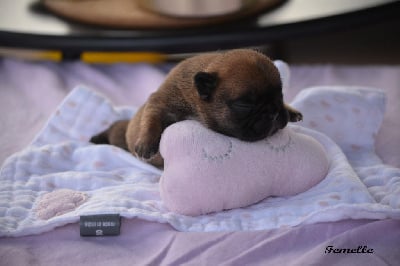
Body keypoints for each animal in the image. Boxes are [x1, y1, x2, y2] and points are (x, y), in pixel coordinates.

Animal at [91, 48, 304, 167]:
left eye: (280, 95)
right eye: (245, 104)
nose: (274, 112)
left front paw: (290, 110)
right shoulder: (159, 103)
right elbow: (151, 120)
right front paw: (146, 143)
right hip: (121, 135)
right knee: (115, 129)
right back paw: (98, 138)